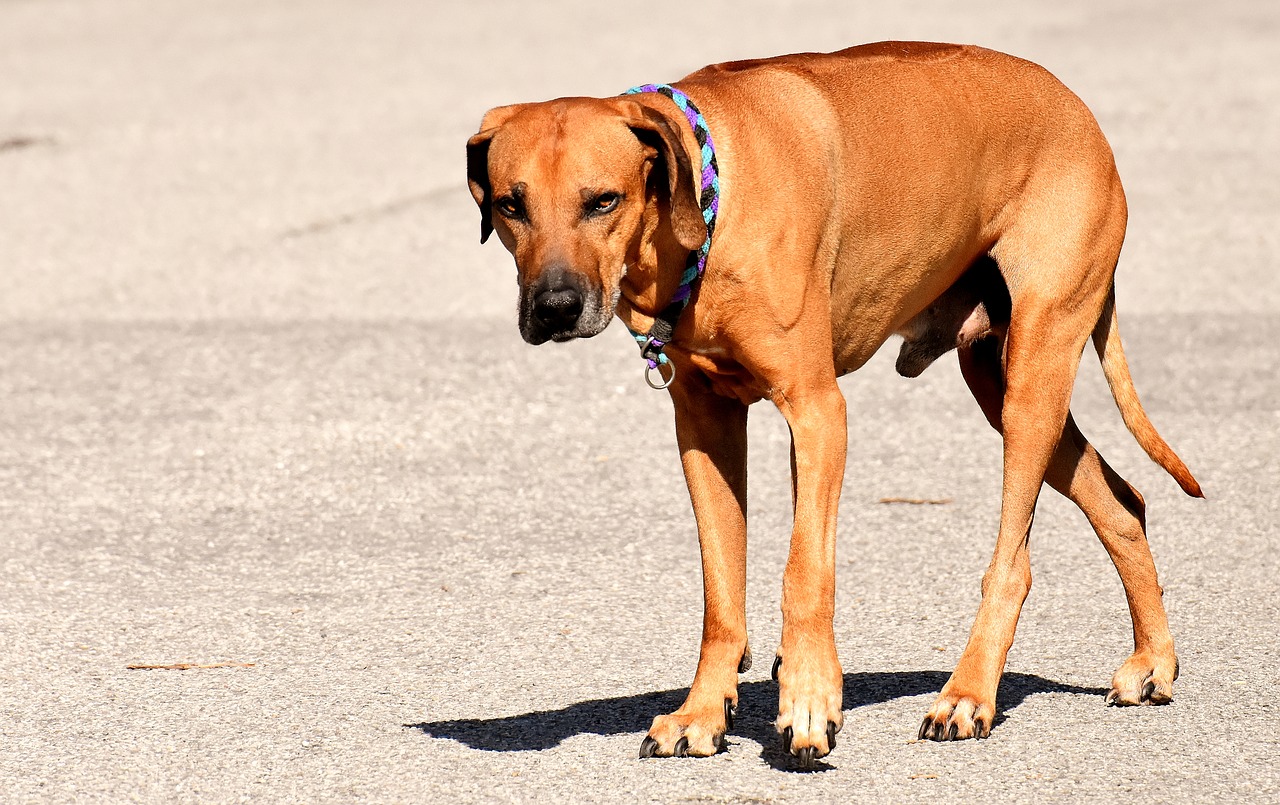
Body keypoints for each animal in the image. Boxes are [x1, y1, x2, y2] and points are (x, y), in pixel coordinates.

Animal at [468, 39, 1198, 767]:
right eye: (510, 206)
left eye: (603, 201)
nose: (555, 307)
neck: (708, 204)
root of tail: (1079, 110)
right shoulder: (705, 425)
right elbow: (720, 591)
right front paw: (703, 710)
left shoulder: (817, 412)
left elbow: (805, 573)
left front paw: (809, 701)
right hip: (999, 378)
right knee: (1122, 500)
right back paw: (1152, 661)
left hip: (1036, 369)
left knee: (1013, 561)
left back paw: (967, 695)